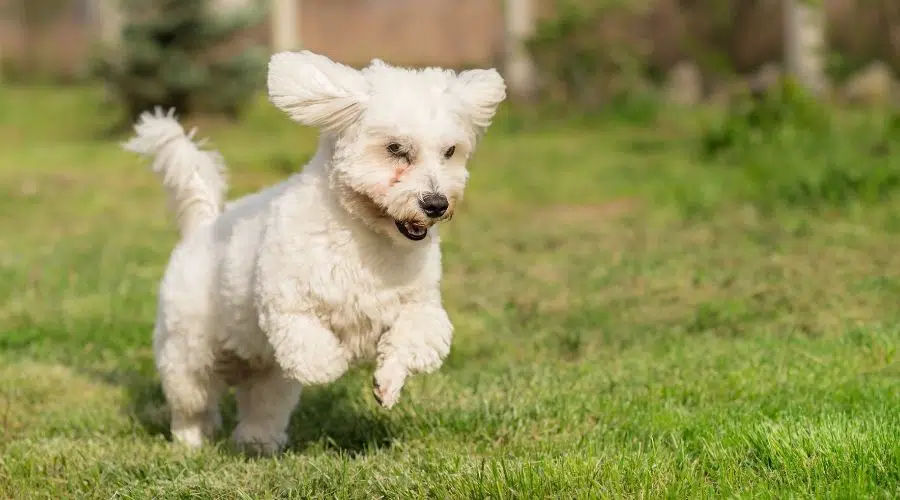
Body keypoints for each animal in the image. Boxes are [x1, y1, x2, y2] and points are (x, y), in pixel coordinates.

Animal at [121, 49, 506, 454]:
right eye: (395, 149)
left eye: (449, 152)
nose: (436, 204)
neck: (366, 236)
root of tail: (205, 223)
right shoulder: (288, 305)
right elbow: (315, 352)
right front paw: (337, 364)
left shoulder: (420, 307)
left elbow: (415, 339)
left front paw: (386, 384)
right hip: (188, 352)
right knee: (193, 402)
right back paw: (191, 440)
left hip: (266, 374)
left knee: (262, 406)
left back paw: (258, 442)